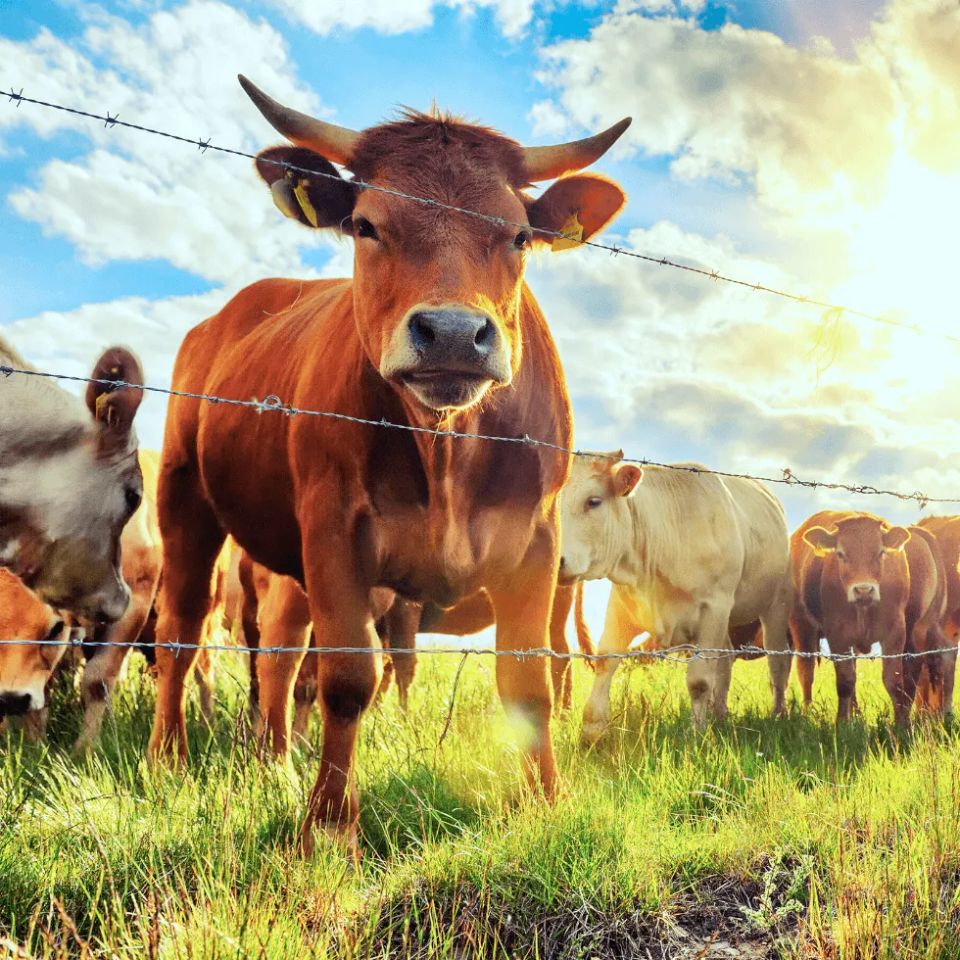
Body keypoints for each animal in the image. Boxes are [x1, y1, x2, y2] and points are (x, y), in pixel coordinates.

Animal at [148, 77, 632, 856]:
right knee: (183, 630)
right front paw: (327, 828)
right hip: (184, 497)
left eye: (518, 234)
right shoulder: (335, 530)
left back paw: (274, 762)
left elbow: (528, 679)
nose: (456, 335)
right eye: (366, 225)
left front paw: (545, 803)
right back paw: (170, 758)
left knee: (279, 648)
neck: (447, 449)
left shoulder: (537, 543)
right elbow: (349, 678)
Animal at [560, 454, 792, 740]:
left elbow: (700, 680)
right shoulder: (622, 605)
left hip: (776, 604)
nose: (558, 561)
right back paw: (719, 715)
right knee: (725, 660)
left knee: (777, 662)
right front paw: (592, 731)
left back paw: (778, 714)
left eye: (593, 501)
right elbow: (606, 661)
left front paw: (696, 735)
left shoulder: (714, 608)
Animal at [792, 512, 948, 724]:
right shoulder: (837, 636)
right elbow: (845, 681)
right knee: (806, 672)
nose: (864, 590)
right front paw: (842, 723)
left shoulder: (895, 634)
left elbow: (893, 681)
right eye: (840, 553)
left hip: (916, 630)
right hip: (802, 627)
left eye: (880, 552)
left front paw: (902, 725)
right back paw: (810, 713)